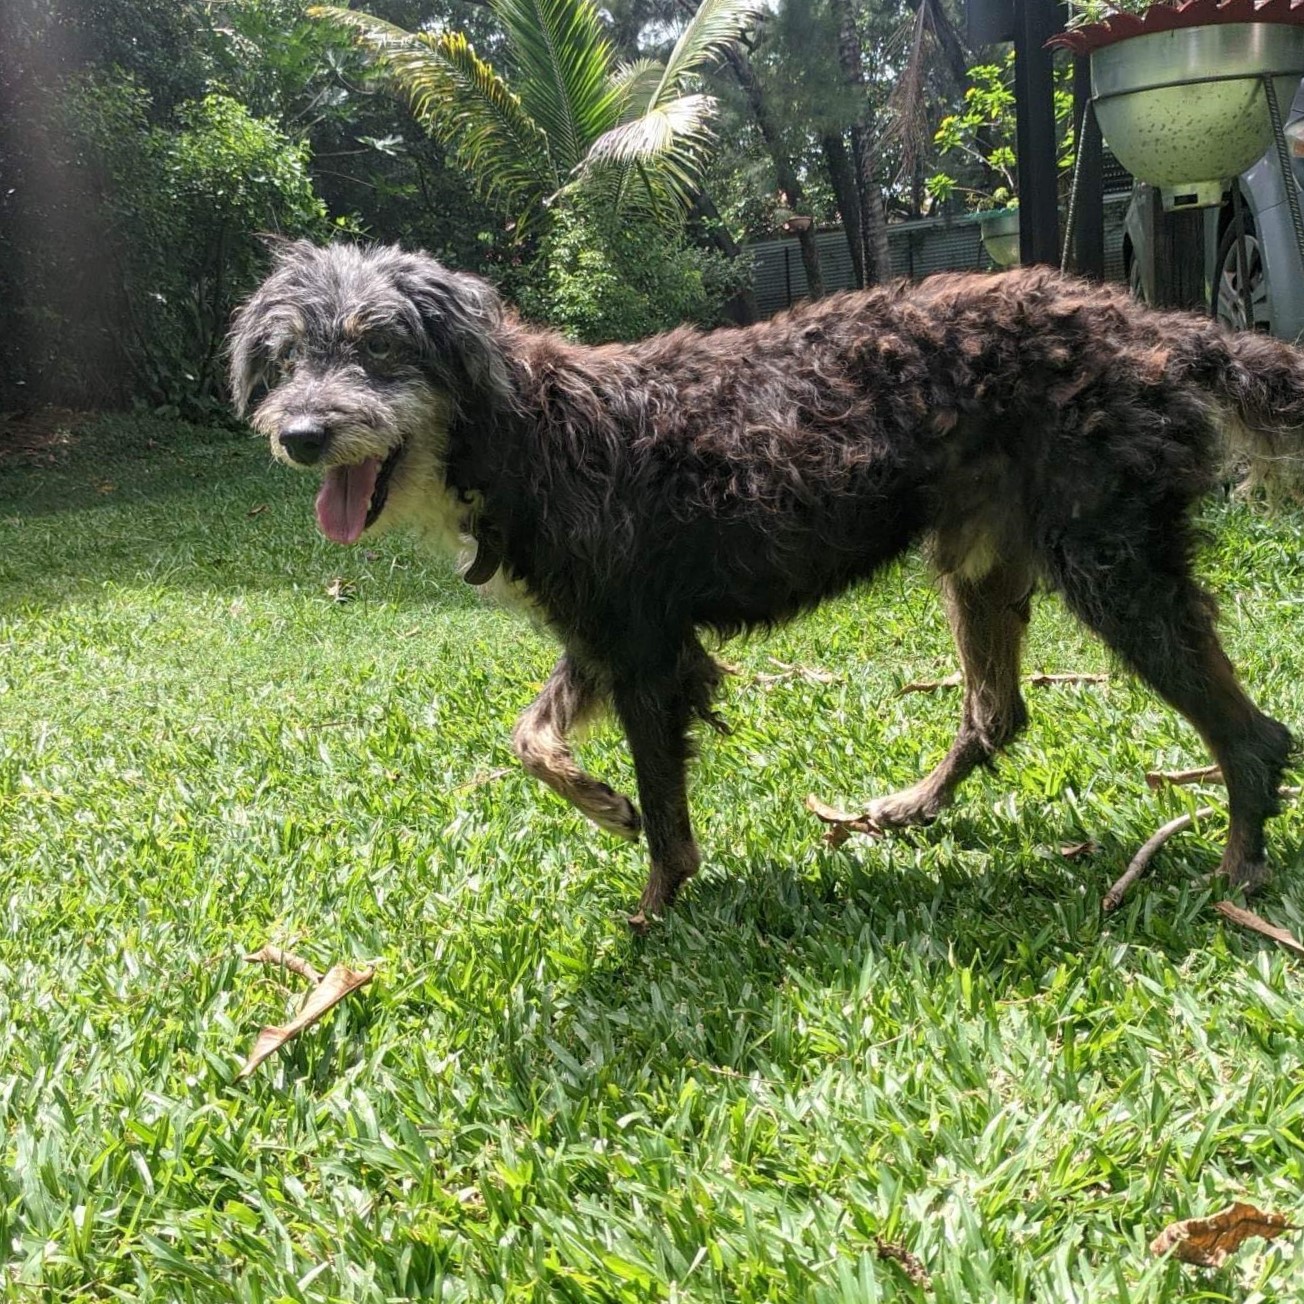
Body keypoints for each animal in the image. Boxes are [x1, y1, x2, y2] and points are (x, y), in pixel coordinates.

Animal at [234, 239, 1304, 923]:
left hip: (1114, 568)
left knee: (1254, 738)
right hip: (983, 565)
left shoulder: (646, 654)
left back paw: (1239, 874)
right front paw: (601, 802)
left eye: (380, 345)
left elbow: (666, 824)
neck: (522, 430)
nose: (300, 435)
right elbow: (528, 740)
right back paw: (910, 808)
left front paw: (654, 910)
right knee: (998, 715)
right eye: (287, 358)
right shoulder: (609, 636)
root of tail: (1153, 327)